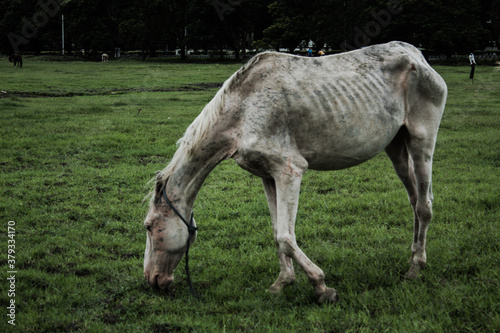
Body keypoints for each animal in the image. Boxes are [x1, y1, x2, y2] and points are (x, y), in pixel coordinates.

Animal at [143, 40, 448, 300]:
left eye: (148, 227)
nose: (152, 281)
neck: (242, 111)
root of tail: (417, 55)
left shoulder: (289, 171)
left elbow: (285, 237)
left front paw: (322, 286)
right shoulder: (268, 176)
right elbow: (277, 233)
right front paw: (283, 282)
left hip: (421, 142)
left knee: (424, 206)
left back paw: (416, 267)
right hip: (396, 147)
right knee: (415, 200)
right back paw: (413, 257)